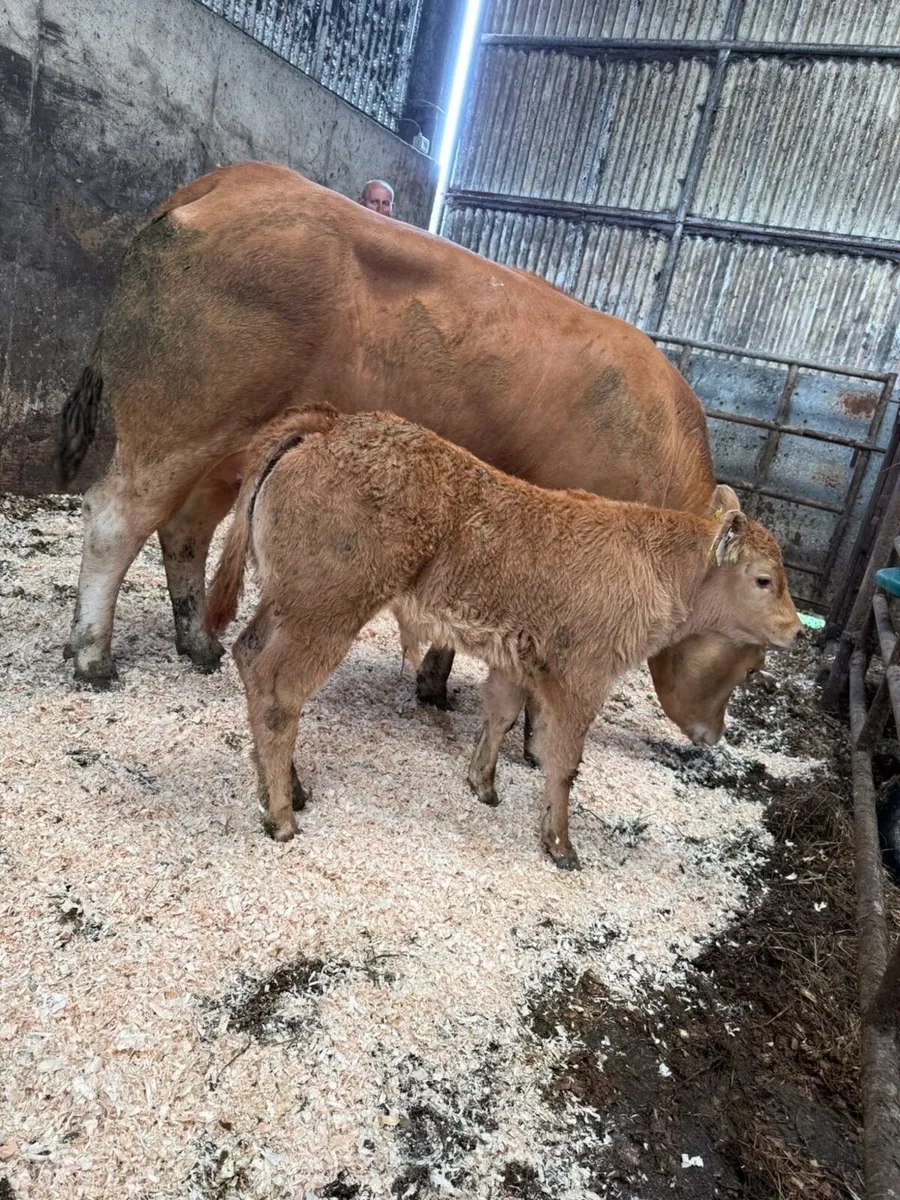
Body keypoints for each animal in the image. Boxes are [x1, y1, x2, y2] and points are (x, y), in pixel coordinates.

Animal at [57, 160, 762, 745]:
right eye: (752, 657)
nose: (714, 737)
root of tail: (232, 179)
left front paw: (435, 686)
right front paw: (532, 741)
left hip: (231, 445)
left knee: (185, 528)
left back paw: (198, 643)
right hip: (180, 416)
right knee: (116, 517)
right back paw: (93, 658)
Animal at [205, 407, 802, 869]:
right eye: (763, 579)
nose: (796, 629)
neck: (654, 561)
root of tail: (330, 427)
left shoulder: (517, 661)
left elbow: (501, 715)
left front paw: (484, 786)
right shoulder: (581, 680)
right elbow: (564, 761)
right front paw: (560, 845)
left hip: (286, 604)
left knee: (249, 655)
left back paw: (284, 789)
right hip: (324, 615)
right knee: (280, 691)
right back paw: (282, 815)